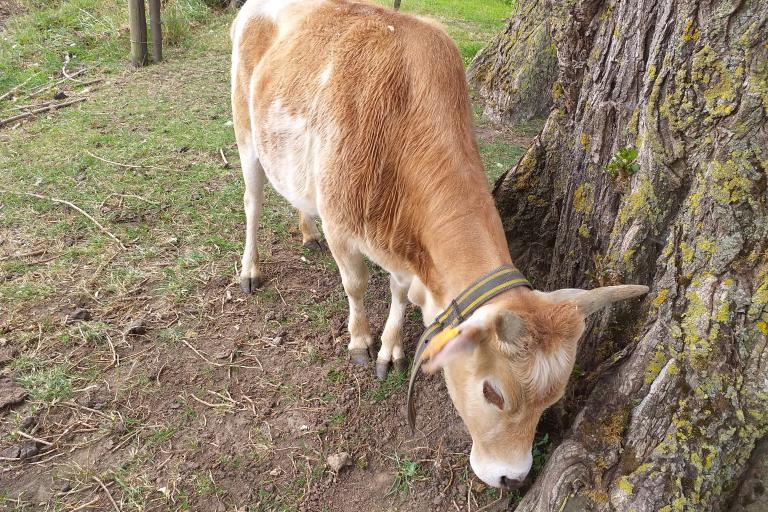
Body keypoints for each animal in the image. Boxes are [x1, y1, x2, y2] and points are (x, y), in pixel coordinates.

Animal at [230, 0, 648, 488]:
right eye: (492, 392)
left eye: (554, 396)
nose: (513, 478)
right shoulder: (342, 225)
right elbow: (356, 284)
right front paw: (360, 341)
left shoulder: (400, 249)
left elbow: (398, 293)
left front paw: (390, 349)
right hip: (246, 131)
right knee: (253, 201)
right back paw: (250, 269)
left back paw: (306, 231)